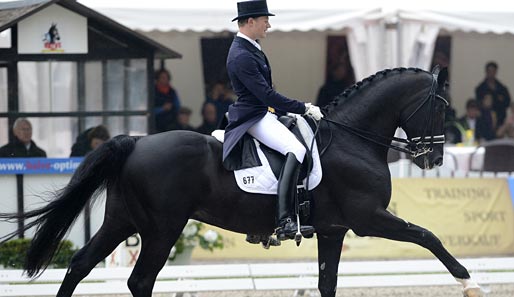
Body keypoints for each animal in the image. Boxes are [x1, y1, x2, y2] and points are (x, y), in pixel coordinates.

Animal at [0, 67, 480, 296]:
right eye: (440, 106)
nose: (435, 158)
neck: (352, 138)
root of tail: (135, 143)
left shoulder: (334, 229)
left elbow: (327, 283)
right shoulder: (368, 218)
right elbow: (427, 235)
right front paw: (466, 279)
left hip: (122, 220)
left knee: (80, 266)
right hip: (162, 227)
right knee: (139, 281)